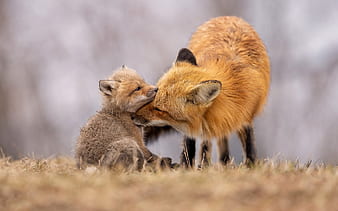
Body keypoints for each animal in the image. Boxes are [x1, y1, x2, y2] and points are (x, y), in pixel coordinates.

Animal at [133, 16, 270, 167]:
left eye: (159, 109)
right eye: (154, 93)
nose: (132, 116)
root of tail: (230, 17)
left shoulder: (244, 117)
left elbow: (250, 147)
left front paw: (251, 165)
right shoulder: (195, 127)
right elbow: (191, 149)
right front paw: (188, 167)